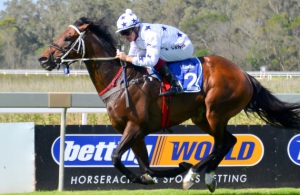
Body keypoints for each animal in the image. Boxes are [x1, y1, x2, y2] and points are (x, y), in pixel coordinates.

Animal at [38, 17, 300, 193]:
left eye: (68, 38)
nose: (43, 59)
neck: (121, 79)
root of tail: (244, 74)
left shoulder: (135, 127)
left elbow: (115, 156)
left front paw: (182, 168)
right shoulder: (136, 132)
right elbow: (147, 168)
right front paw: (155, 175)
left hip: (215, 111)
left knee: (221, 143)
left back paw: (193, 174)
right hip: (201, 117)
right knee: (229, 141)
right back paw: (206, 176)